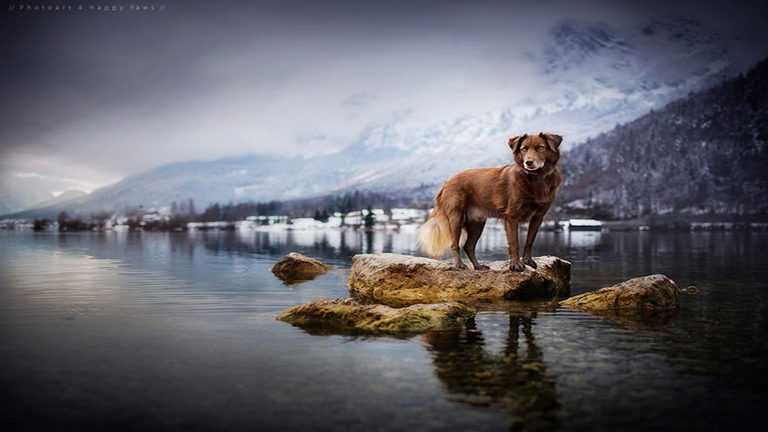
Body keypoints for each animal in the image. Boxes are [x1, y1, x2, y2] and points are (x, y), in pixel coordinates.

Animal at [416, 133, 560, 272]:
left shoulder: (538, 217)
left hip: (477, 223)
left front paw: (527, 261)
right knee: (455, 244)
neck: (536, 178)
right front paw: (516, 265)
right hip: (456, 217)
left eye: (540, 148)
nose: (528, 162)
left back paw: (478, 266)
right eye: (523, 149)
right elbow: (514, 243)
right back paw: (460, 264)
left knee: (468, 246)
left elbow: (529, 241)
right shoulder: (512, 217)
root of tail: (447, 182)